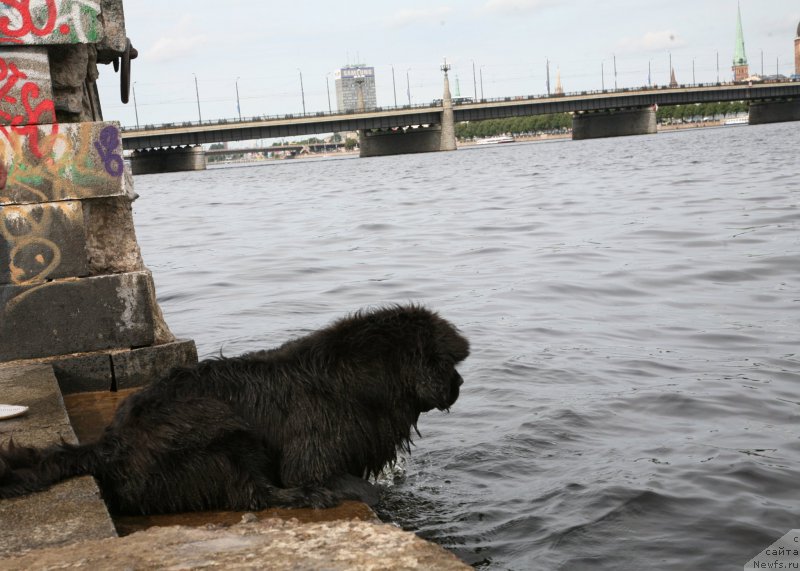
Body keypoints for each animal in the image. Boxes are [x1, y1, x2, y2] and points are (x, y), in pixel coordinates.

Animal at [0, 306, 468, 516]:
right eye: (449, 364)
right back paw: (314, 496)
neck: (359, 378)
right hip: (217, 430)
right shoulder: (314, 443)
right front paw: (347, 489)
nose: (460, 385)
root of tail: (110, 446)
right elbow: (309, 472)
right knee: (252, 492)